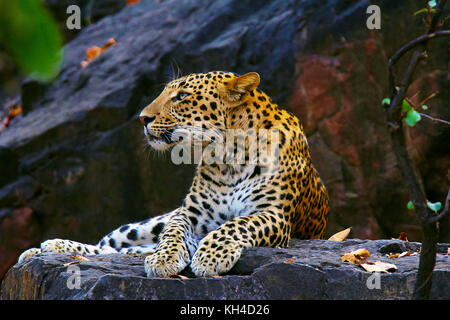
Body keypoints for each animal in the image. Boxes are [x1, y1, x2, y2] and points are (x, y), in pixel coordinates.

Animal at [18, 71, 330, 276]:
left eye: (182, 96)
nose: (142, 118)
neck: (228, 157)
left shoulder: (273, 214)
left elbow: (236, 225)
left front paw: (209, 257)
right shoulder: (189, 214)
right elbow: (173, 232)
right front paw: (164, 259)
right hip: (139, 227)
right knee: (111, 246)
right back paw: (48, 247)